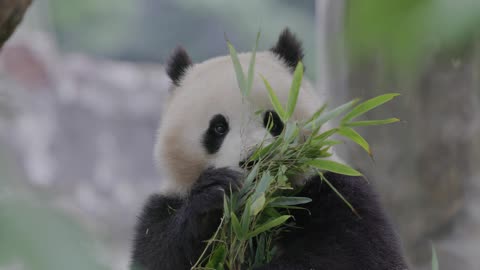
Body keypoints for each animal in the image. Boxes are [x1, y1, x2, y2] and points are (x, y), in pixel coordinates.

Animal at [129, 28, 406, 268]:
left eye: (273, 120)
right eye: (218, 127)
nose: (255, 159)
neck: (259, 208)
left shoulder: (336, 190)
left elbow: (347, 253)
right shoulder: (167, 203)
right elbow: (158, 252)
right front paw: (216, 193)